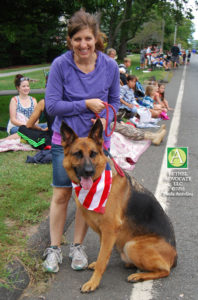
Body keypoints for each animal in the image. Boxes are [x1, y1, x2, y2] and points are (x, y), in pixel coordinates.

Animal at [60, 119, 176, 292]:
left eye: (93, 154)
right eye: (78, 154)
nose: (88, 171)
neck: (98, 183)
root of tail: (175, 255)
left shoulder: (109, 230)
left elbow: (102, 259)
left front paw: (93, 282)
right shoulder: (104, 232)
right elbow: (103, 254)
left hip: (131, 245)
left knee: (165, 270)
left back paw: (138, 275)